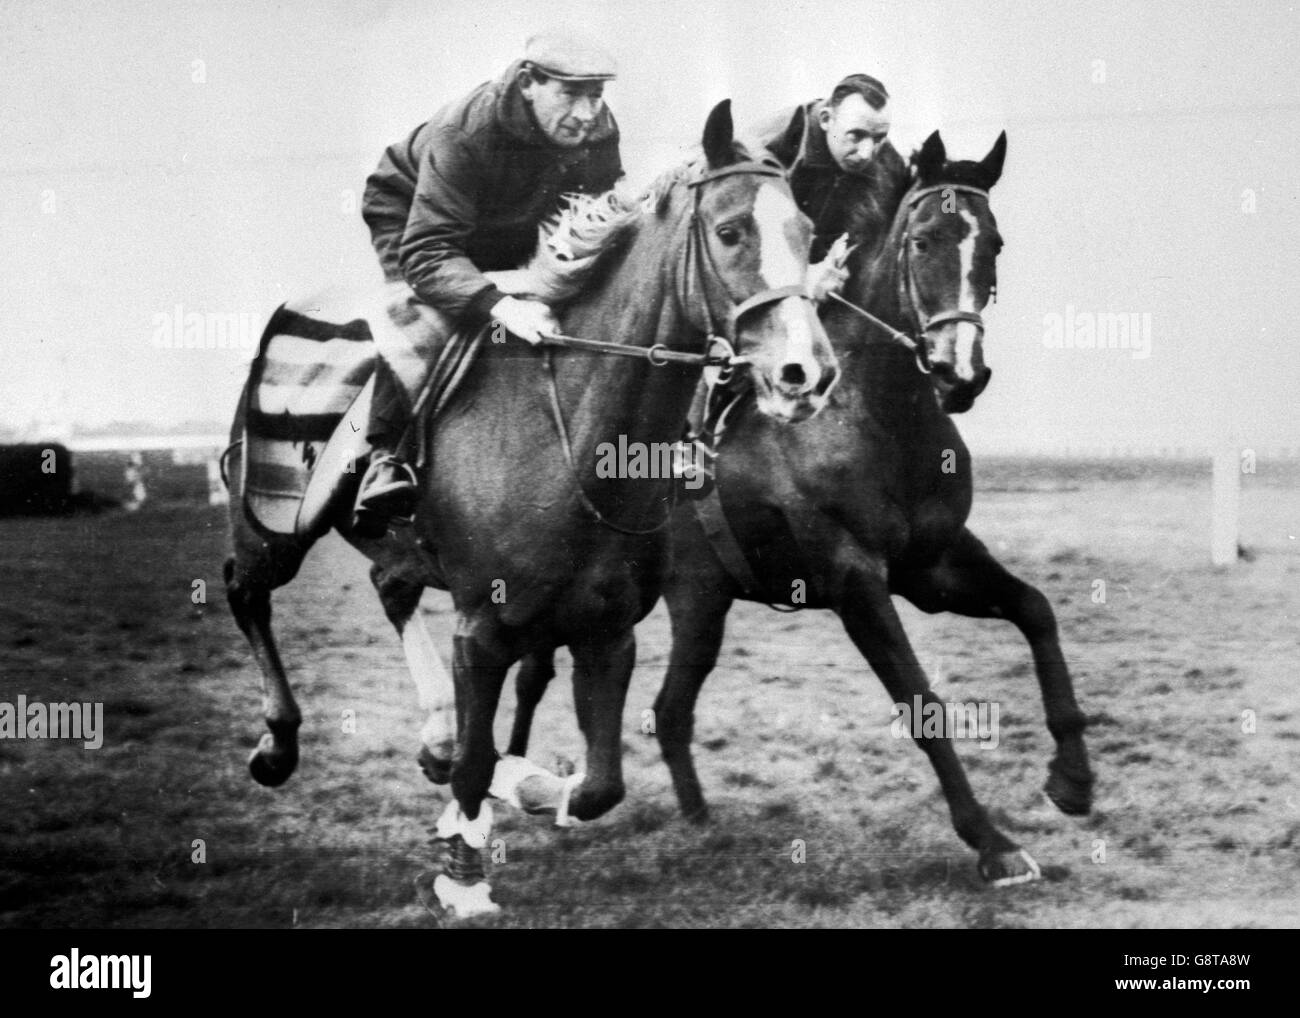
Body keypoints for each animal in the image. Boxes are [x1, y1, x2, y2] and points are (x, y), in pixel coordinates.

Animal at [222, 99, 837, 920]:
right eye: (733, 231)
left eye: (805, 230)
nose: (808, 373)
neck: (574, 433)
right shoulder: (482, 628)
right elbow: (480, 760)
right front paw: (463, 876)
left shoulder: (607, 629)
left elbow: (599, 784)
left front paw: (526, 786)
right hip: (273, 522)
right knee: (245, 590)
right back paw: (278, 745)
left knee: (390, 588)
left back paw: (434, 739)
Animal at [506, 133, 1097, 884]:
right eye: (924, 240)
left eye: (992, 243)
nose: (960, 373)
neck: (880, 417)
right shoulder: (855, 579)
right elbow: (920, 701)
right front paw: (992, 842)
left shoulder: (933, 566)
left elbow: (1036, 611)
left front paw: (1072, 779)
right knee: (540, 677)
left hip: (700, 602)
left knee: (668, 710)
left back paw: (698, 820)